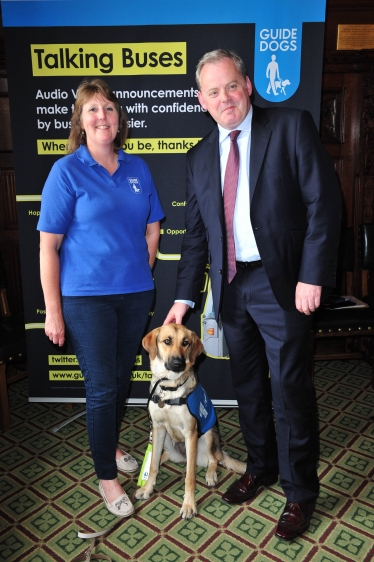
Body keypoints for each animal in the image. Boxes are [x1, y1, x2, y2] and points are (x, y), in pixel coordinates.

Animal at [134, 322, 245, 520]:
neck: (169, 388)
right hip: (168, 441)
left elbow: (190, 476)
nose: (178, 363)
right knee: (163, 456)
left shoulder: (190, 433)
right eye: (167, 341)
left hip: (207, 435)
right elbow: (153, 465)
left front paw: (188, 505)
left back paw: (211, 474)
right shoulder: (158, 428)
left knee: (213, 459)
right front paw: (147, 489)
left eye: (185, 342)